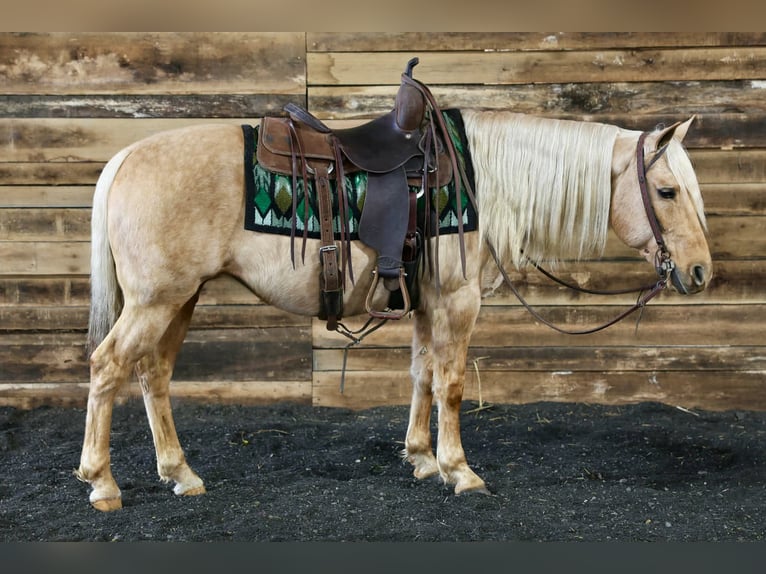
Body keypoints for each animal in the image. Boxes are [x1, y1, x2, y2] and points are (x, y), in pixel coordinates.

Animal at [75, 110, 712, 511]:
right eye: (667, 191)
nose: (701, 271)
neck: (478, 181)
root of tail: (125, 157)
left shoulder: (428, 302)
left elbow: (421, 374)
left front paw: (422, 459)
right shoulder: (457, 299)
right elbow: (451, 383)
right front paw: (461, 472)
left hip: (179, 299)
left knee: (153, 375)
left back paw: (181, 474)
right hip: (156, 301)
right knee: (108, 368)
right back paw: (102, 484)